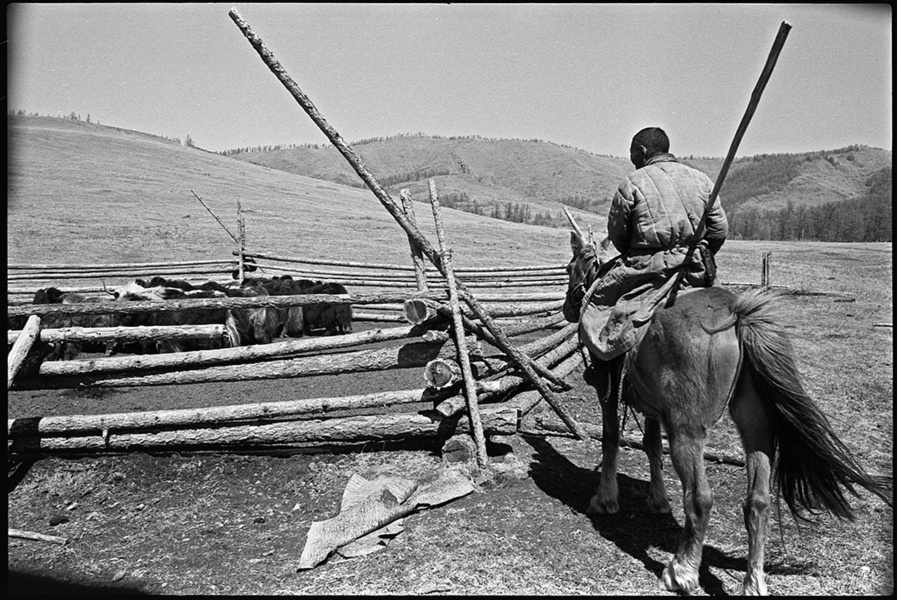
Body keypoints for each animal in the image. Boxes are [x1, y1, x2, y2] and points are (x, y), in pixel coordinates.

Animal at [560, 221, 888, 596]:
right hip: (756, 426)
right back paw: (754, 581)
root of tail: (736, 315)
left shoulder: (608, 386)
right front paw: (657, 501)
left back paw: (682, 571)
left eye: (571, 266)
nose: (569, 306)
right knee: (758, 500)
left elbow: (612, 437)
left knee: (700, 498)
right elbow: (651, 445)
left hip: (687, 430)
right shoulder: (652, 404)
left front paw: (605, 500)